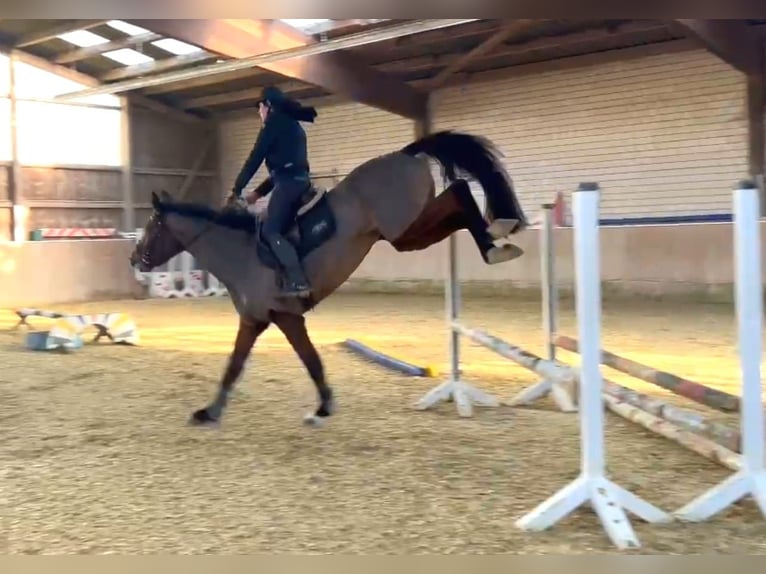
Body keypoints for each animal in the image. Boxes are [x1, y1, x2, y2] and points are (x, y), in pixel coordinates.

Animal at [129, 130, 529, 427]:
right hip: (410, 233)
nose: (135, 260)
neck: (239, 253)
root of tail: (402, 154)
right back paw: (499, 237)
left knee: (460, 191)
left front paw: (321, 408)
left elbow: (299, 361)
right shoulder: (263, 320)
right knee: (458, 198)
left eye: (152, 227)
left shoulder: (278, 317)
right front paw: (211, 412)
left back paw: (498, 236)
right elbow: (246, 365)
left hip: (405, 231)